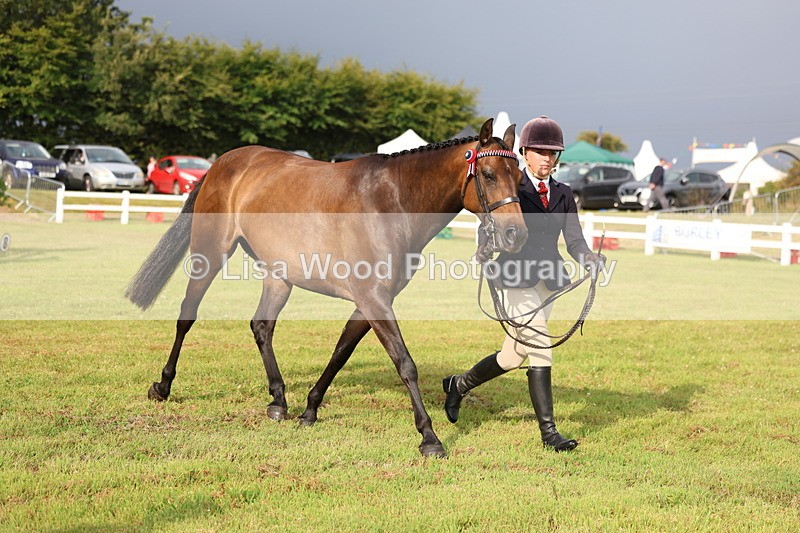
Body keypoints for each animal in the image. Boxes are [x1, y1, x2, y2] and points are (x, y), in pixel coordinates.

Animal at [125, 118, 528, 457]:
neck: (391, 201)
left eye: (519, 175)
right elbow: (405, 364)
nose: (515, 235)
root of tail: (222, 163)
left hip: (279, 277)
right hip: (209, 252)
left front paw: (309, 409)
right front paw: (429, 437)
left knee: (262, 327)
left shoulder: (369, 302)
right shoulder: (374, 300)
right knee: (186, 316)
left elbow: (340, 352)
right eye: (489, 174)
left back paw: (278, 402)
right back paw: (162, 387)